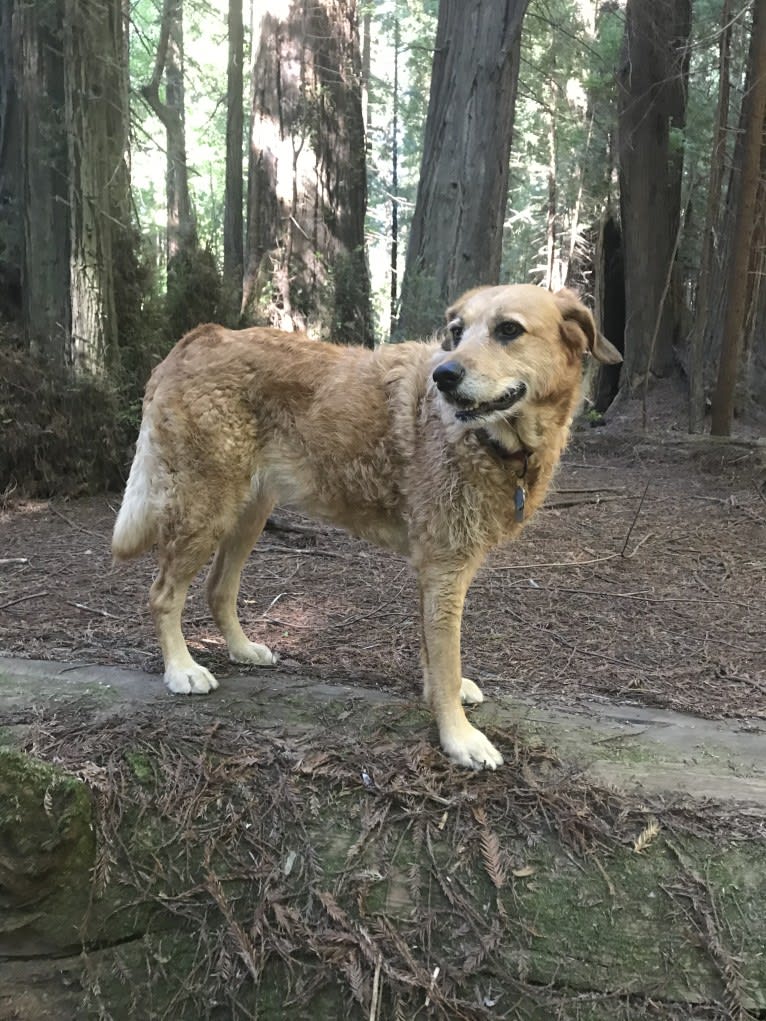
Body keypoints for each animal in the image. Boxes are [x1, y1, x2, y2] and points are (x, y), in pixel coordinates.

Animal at [110, 285, 620, 767]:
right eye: (456, 332)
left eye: (509, 330)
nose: (444, 375)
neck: (495, 444)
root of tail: (201, 335)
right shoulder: (444, 568)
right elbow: (446, 658)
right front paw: (458, 738)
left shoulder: (438, 571)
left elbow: (434, 654)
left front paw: (444, 696)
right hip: (206, 508)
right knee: (163, 595)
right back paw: (181, 669)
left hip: (248, 512)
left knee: (218, 588)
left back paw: (242, 649)